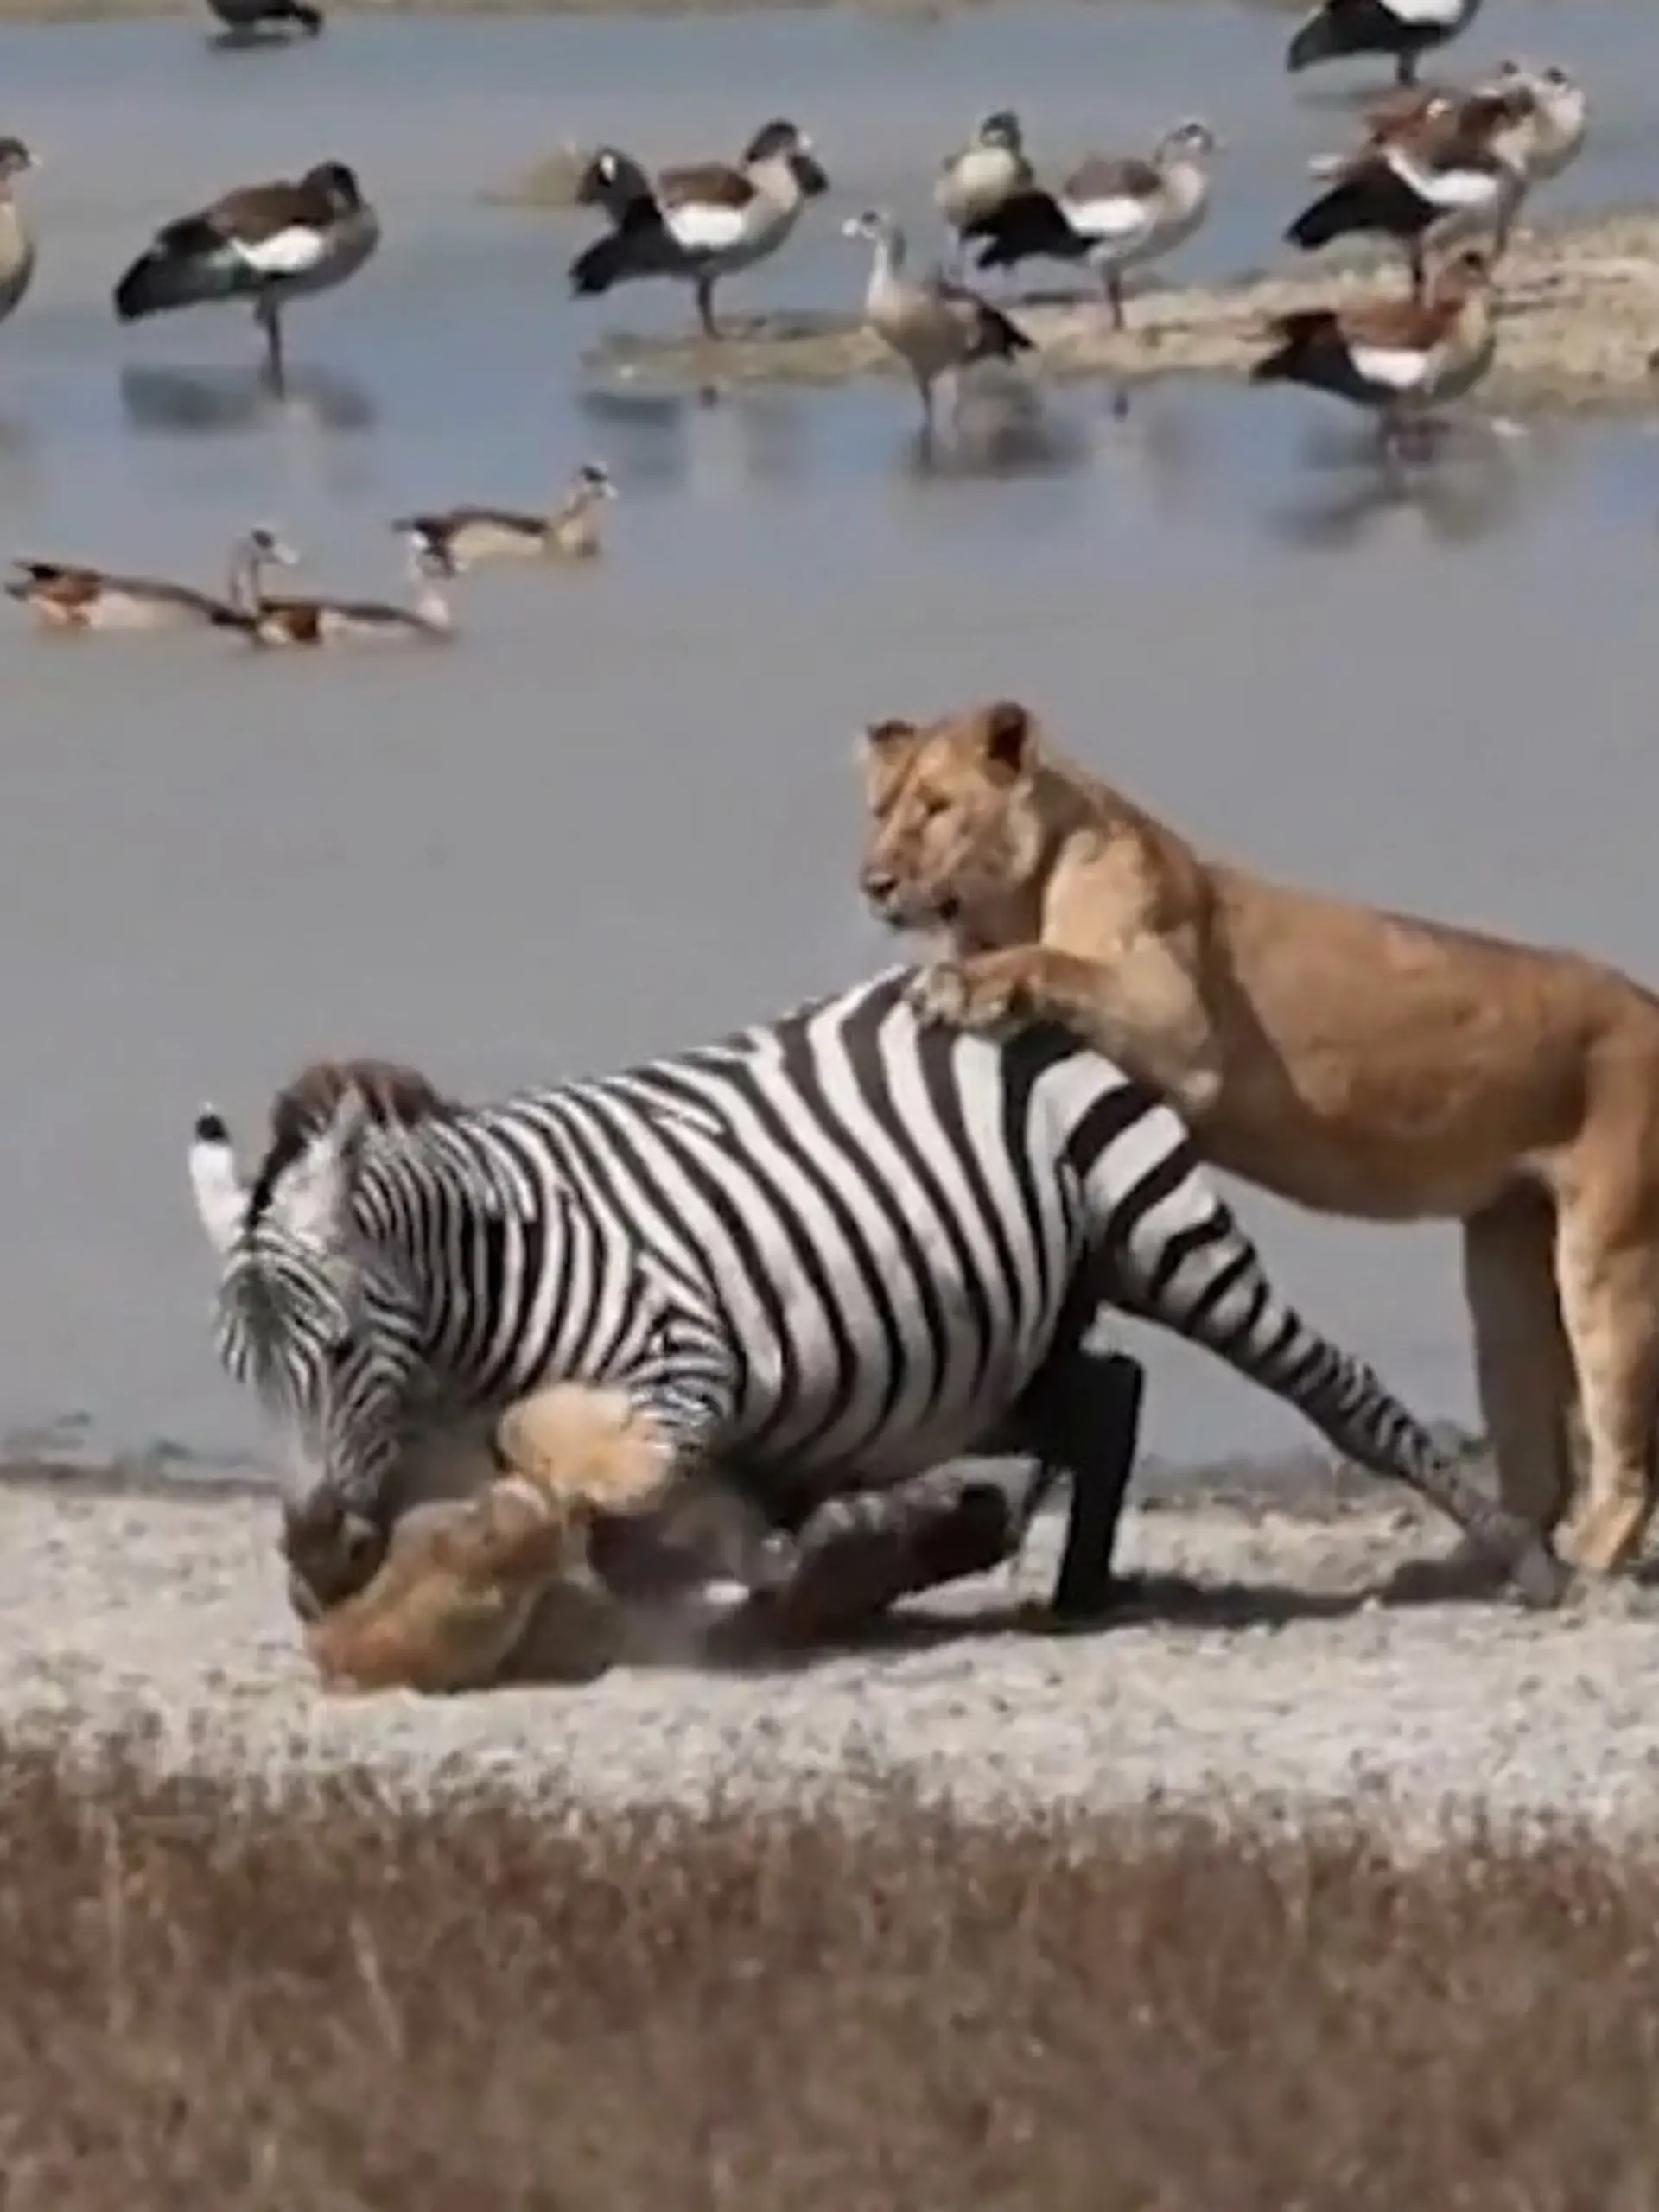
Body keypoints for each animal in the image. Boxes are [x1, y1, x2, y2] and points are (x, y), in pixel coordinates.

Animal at [186, 965, 1566, 1637]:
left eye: (343, 1345)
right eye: (240, 1370)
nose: (316, 1545)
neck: (486, 1275)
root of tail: (971, 979)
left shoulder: (687, 1358)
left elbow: (618, 1473)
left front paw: (804, 1562)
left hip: (1160, 1236)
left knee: (1338, 1392)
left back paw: (1521, 1556)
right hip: (975, 1355)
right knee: (1106, 1394)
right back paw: (1071, 1589)